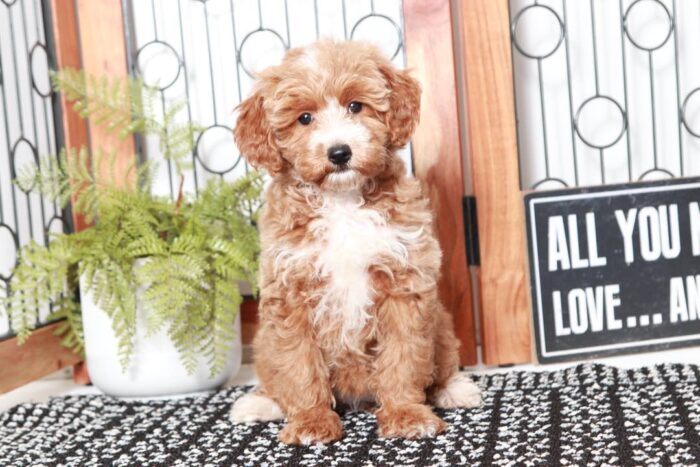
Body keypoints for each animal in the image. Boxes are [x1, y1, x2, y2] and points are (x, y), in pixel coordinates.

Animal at [230, 40, 482, 446]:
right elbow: (299, 364)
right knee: (275, 376)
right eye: (304, 118)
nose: (339, 152)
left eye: (355, 106)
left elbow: (404, 356)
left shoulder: (403, 282)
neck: (342, 201)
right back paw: (259, 403)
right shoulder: (289, 293)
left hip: (440, 321)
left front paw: (407, 415)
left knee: (441, 360)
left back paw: (455, 389)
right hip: (264, 342)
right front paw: (311, 422)